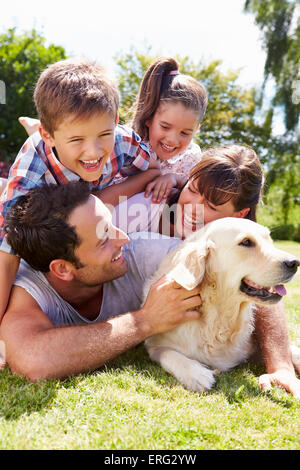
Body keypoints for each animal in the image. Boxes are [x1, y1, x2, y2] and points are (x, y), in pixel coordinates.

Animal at [144, 218, 300, 392]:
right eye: (246, 242)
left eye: (269, 240)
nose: (294, 263)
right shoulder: (155, 344)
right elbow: (168, 353)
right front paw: (196, 374)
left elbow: (292, 351)